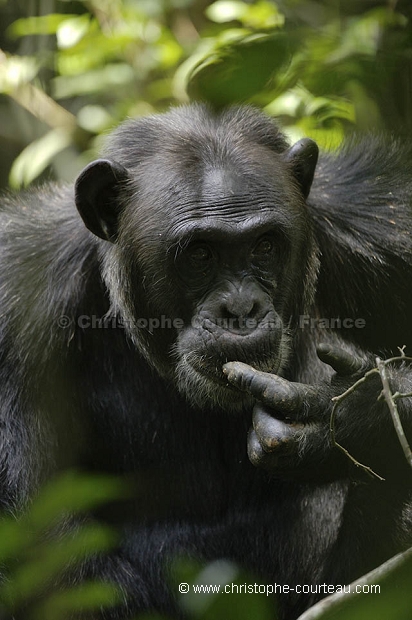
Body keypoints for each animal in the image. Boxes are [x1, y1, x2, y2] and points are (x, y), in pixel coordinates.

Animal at [0, 104, 412, 616]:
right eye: (199, 253)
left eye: (264, 246)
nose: (240, 308)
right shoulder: (15, 304)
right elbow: (50, 556)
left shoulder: (384, 218)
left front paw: (345, 418)